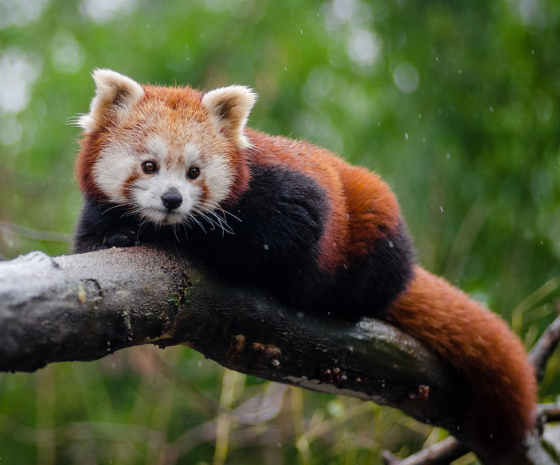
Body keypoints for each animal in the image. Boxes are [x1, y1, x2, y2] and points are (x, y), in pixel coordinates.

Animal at [72, 70, 536, 458]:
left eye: (194, 172)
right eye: (149, 166)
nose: (172, 200)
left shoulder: (285, 195)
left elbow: (276, 234)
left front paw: (189, 238)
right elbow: (88, 243)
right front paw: (118, 236)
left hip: (374, 221)